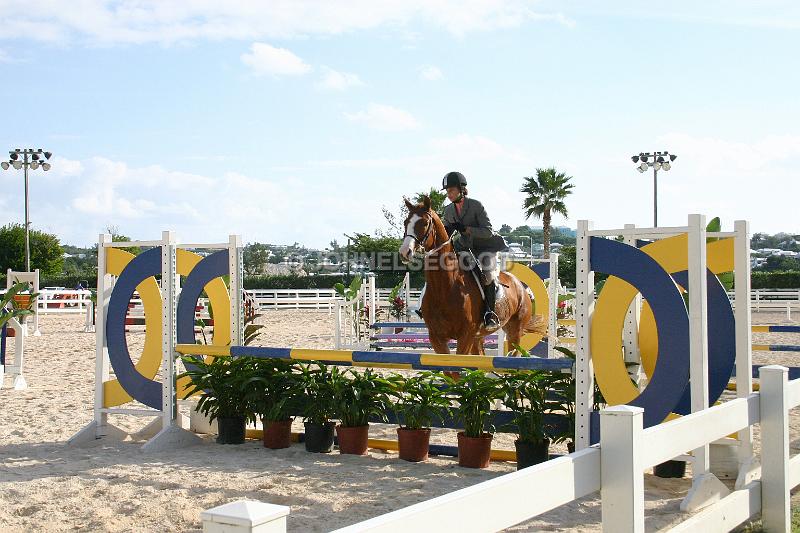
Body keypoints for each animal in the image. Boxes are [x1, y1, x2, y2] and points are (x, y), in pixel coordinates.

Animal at [396, 194, 548, 354]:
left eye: (424, 223)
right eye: (406, 222)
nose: (405, 252)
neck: (444, 287)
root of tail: (519, 285)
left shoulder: (465, 336)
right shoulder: (436, 337)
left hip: (515, 331)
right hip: (479, 336)